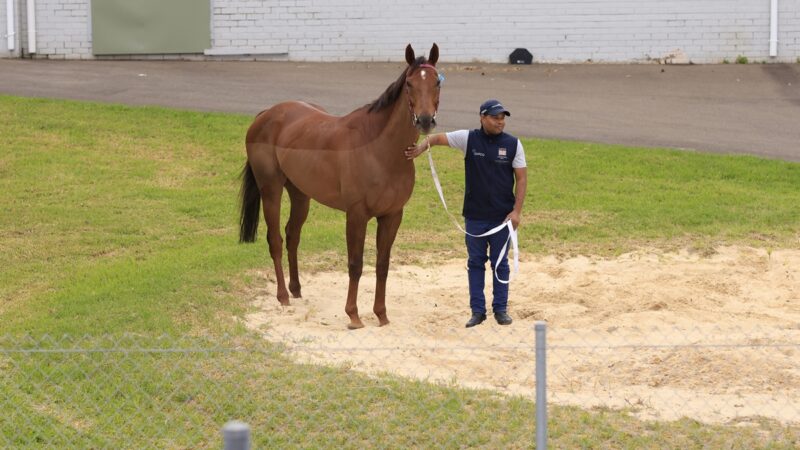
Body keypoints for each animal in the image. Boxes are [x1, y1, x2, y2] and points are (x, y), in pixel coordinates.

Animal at [241, 44, 440, 328]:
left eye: (437, 82)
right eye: (410, 84)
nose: (424, 120)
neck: (379, 149)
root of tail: (266, 114)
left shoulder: (392, 216)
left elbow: (382, 265)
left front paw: (381, 315)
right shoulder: (356, 215)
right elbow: (356, 264)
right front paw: (353, 315)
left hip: (300, 194)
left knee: (292, 236)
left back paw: (296, 289)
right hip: (271, 190)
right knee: (275, 239)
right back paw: (282, 296)